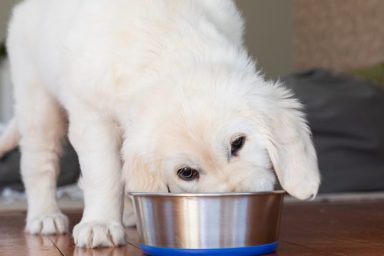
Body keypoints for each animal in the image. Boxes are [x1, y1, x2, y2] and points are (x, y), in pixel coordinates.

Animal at [3, 0, 320, 249]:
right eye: (187, 173)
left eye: (237, 143)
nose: (236, 200)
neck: (168, 47)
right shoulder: (92, 115)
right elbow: (103, 173)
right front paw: (100, 224)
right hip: (36, 101)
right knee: (39, 163)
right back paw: (44, 216)